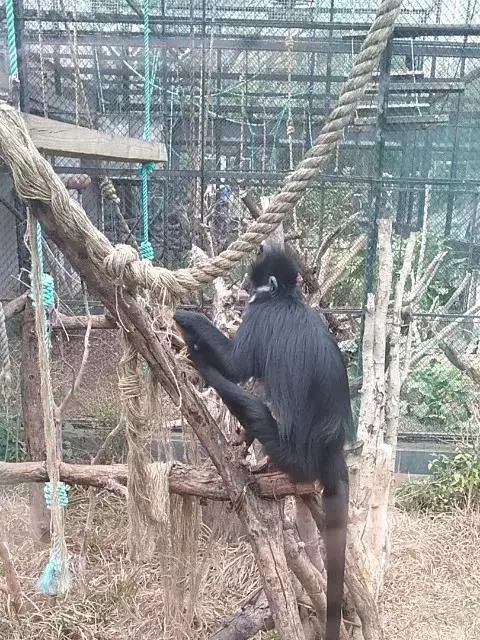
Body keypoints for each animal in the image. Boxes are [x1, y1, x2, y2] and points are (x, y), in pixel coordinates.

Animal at [174, 247, 355, 640]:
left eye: (252, 286)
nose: (246, 294)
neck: (287, 299)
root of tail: (331, 452)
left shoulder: (260, 316)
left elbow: (236, 366)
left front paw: (188, 317)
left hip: (290, 454)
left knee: (244, 394)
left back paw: (201, 359)